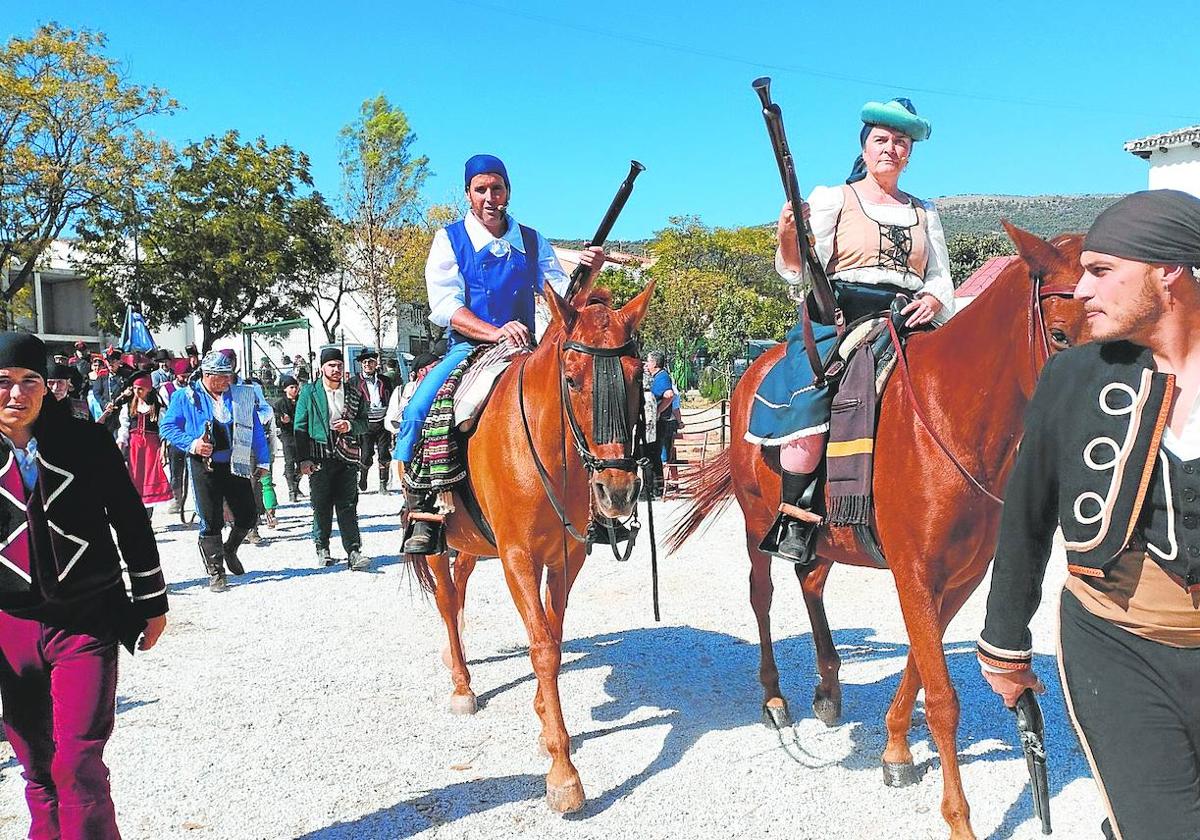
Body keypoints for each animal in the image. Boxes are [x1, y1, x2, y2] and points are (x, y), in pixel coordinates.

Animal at [405, 280, 652, 816]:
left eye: (635, 376)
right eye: (572, 379)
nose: (617, 491)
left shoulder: (565, 558)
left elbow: (553, 637)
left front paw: (544, 719)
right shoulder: (518, 557)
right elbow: (542, 647)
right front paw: (563, 772)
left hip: (475, 543)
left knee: (459, 588)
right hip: (439, 539)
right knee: (447, 600)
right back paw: (461, 683)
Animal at [672, 224, 1094, 840]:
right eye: (1060, 335)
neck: (948, 420)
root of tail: (750, 371)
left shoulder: (959, 579)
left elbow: (919, 665)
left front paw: (895, 749)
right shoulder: (915, 575)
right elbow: (941, 696)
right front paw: (959, 820)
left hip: (824, 537)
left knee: (811, 582)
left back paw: (828, 688)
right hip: (755, 526)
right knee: (763, 596)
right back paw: (774, 697)